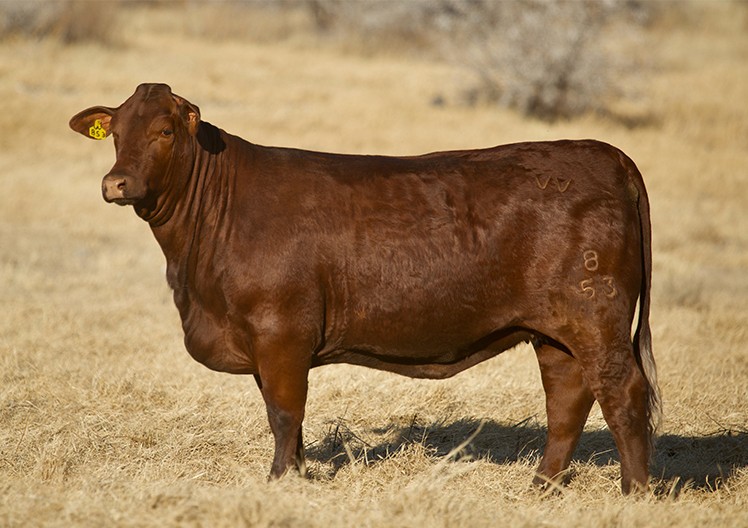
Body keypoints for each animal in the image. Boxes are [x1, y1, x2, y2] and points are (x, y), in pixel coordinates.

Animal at [70, 83, 661, 494]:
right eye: (116, 132)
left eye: (165, 131)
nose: (115, 183)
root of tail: (604, 152)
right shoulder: (263, 343)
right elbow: (283, 416)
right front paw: (296, 475)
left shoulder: (281, 331)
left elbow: (284, 412)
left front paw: (280, 482)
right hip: (555, 332)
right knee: (567, 397)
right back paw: (541, 487)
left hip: (597, 317)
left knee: (623, 392)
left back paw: (634, 493)